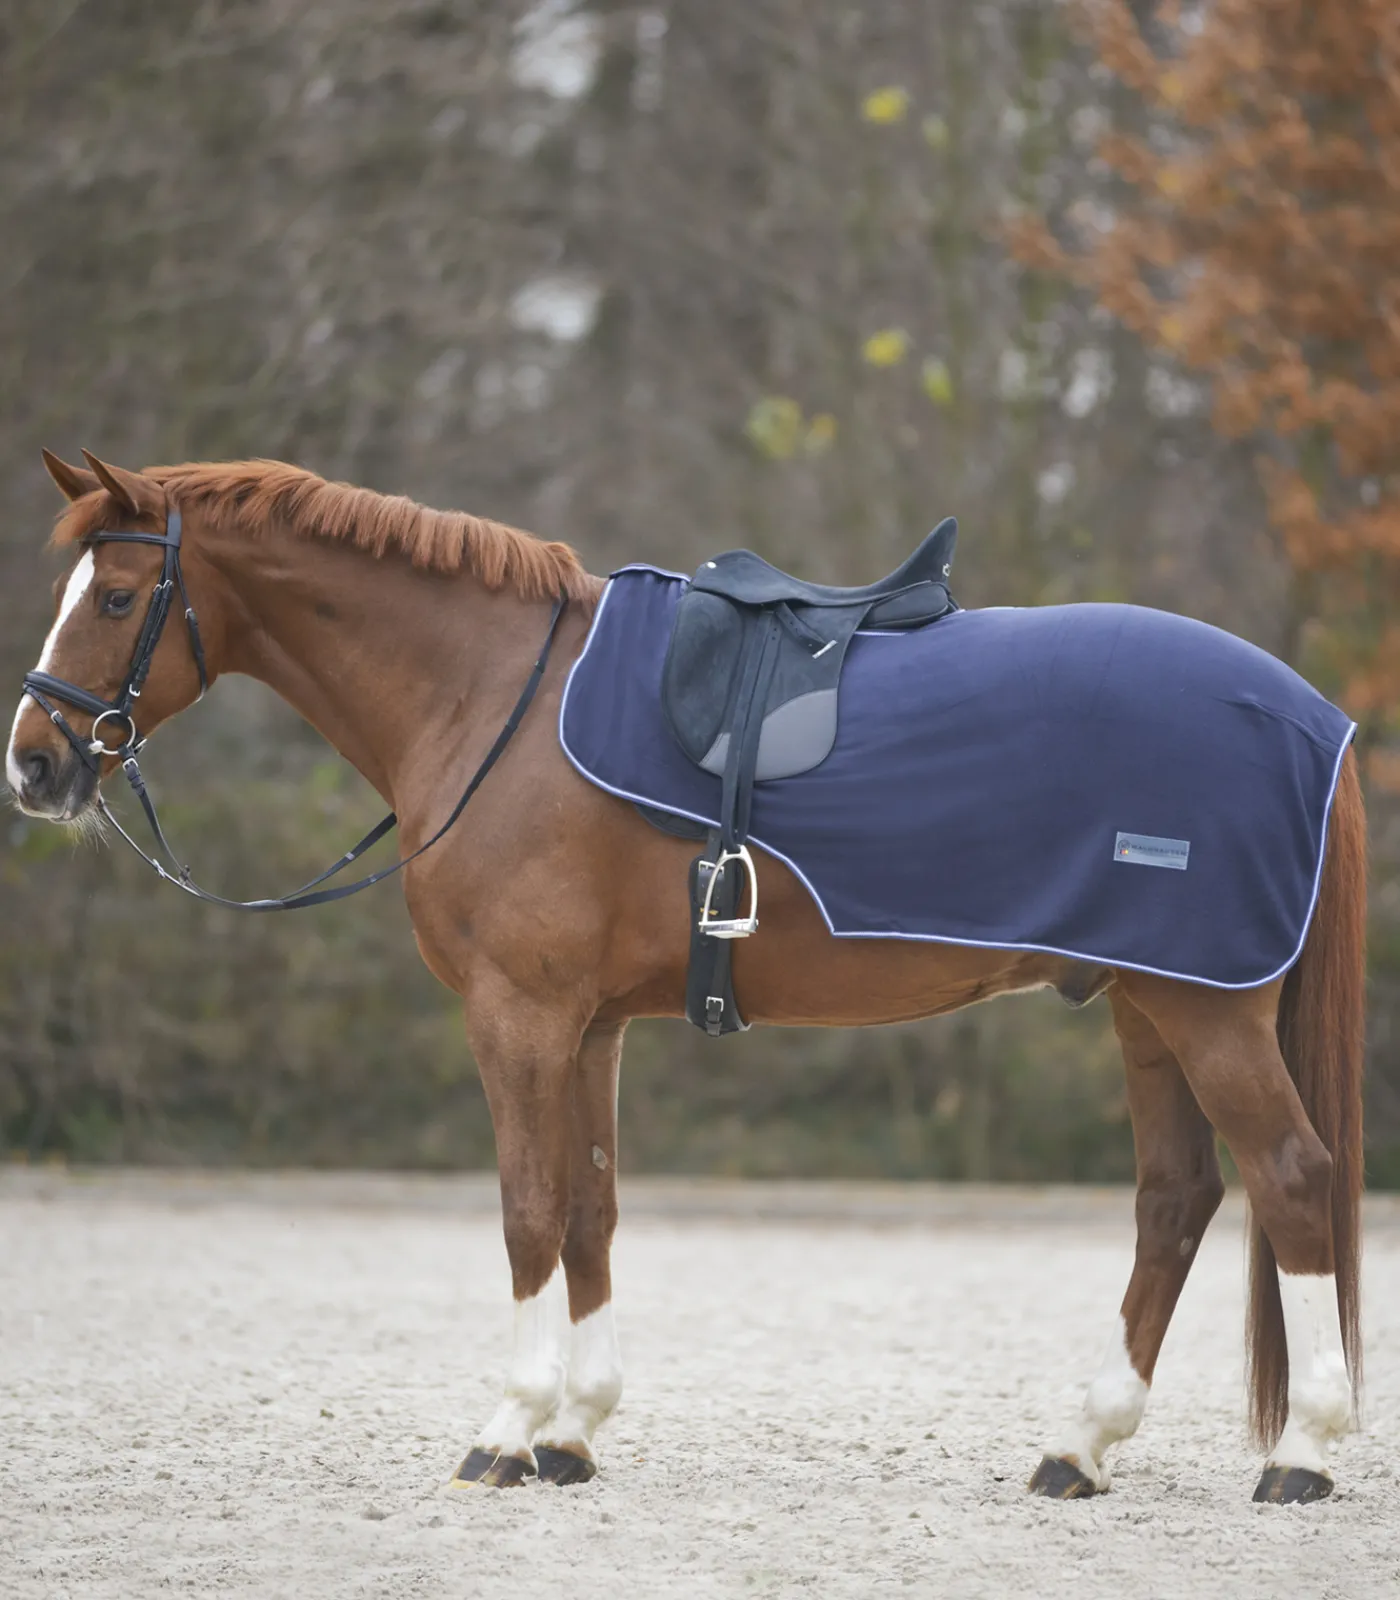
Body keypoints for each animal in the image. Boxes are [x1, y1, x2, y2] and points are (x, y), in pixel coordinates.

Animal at [7, 450, 1365, 1505]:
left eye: (117, 594)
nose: (32, 764)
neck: (491, 697)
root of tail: (1310, 715)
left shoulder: (518, 1013)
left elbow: (526, 1210)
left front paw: (506, 1431)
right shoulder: (590, 1024)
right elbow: (590, 1211)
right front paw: (573, 1432)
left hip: (1204, 1010)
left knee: (1290, 1178)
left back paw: (1300, 1453)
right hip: (1144, 1003)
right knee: (1174, 1202)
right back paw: (1078, 1447)